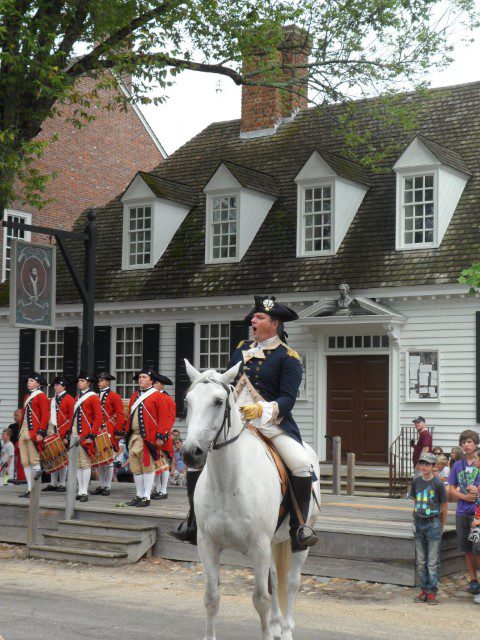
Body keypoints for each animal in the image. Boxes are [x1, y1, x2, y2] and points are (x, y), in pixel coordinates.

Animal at [182, 360, 320, 640]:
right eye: (187, 402)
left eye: (218, 401)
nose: (191, 453)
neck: (227, 483)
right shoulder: (207, 544)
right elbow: (212, 598)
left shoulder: (259, 547)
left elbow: (261, 600)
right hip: (274, 542)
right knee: (276, 578)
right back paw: (277, 626)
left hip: (298, 542)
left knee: (291, 582)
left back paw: (286, 630)